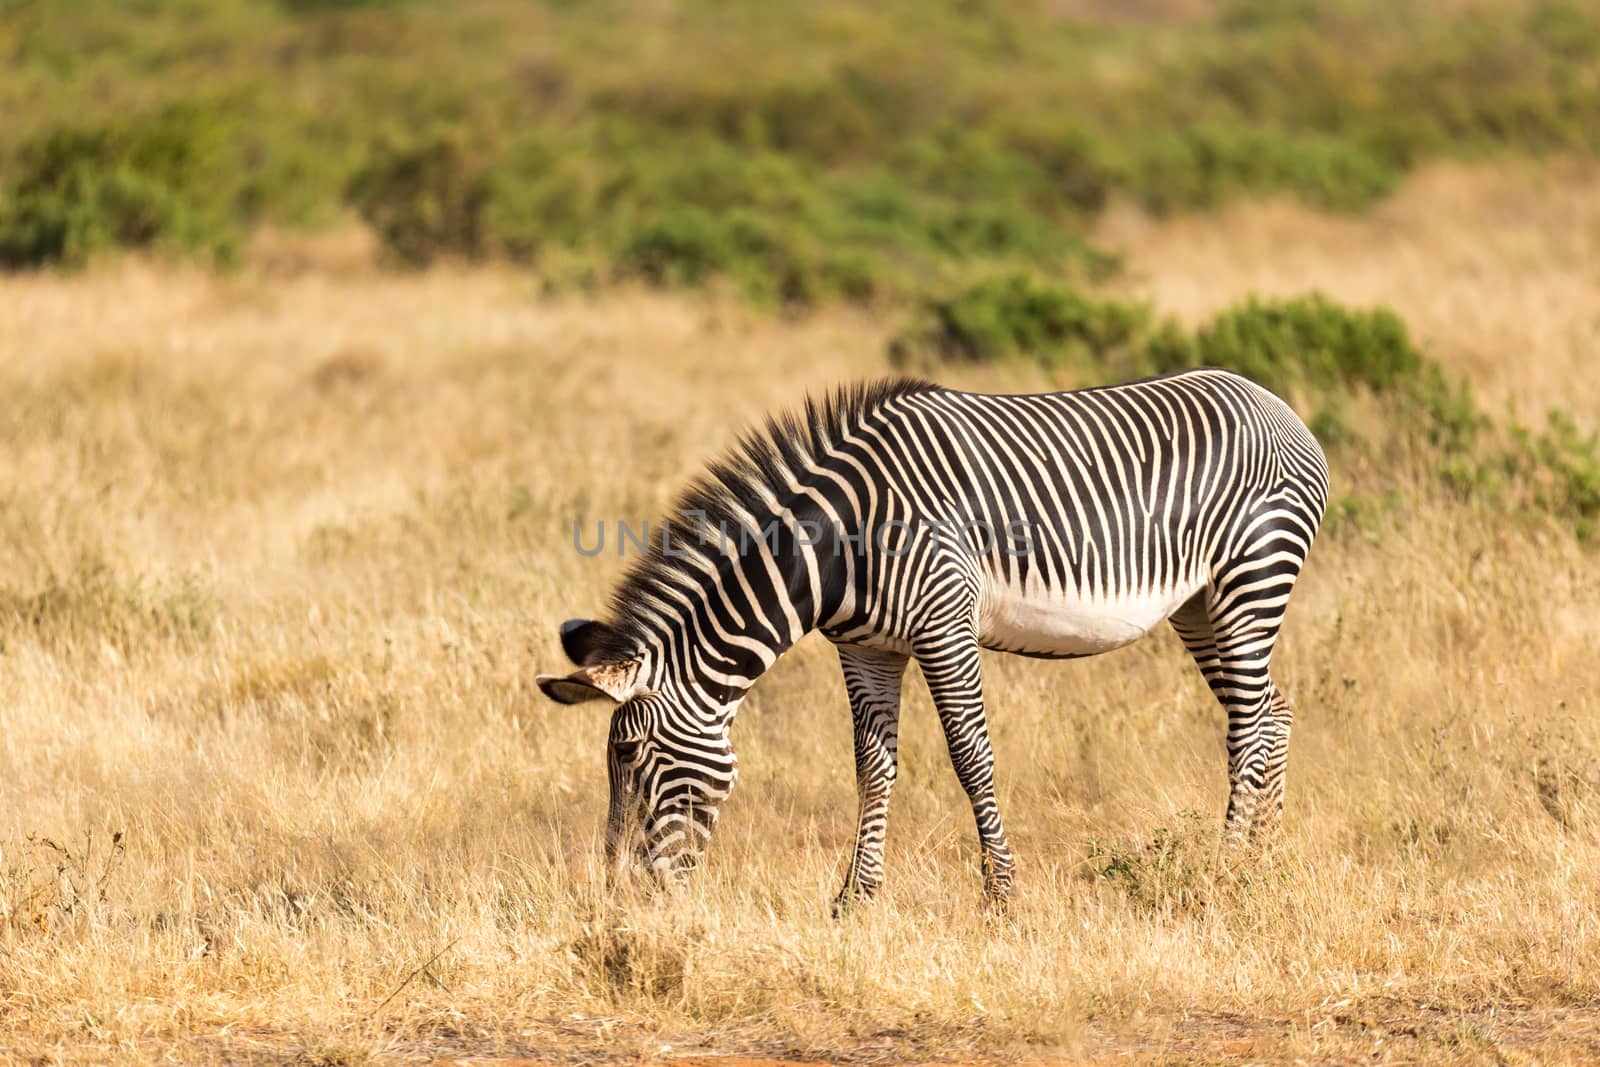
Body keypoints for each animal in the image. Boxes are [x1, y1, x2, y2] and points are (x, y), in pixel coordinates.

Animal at [537, 367, 1324, 908]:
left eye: (634, 757)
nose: (619, 895)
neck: (839, 546)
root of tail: (1273, 401)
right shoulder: (865, 645)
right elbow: (873, 767)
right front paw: (855, 900)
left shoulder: (945, 624)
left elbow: (971, 757)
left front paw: (1001, 894)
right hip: (1200, 603)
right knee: (1274, 712)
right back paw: (1266, 863)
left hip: (1252, 575)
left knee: (1249, 725)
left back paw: (1225, 872)